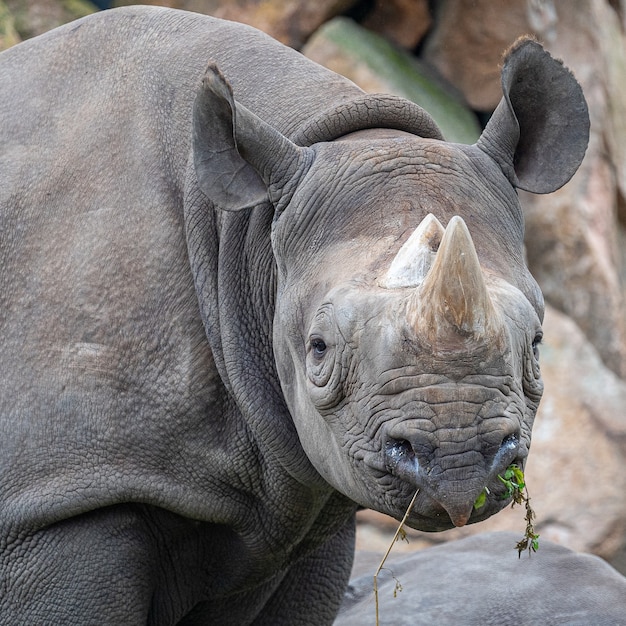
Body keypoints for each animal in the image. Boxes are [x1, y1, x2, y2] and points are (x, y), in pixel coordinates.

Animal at [0, 6, 584, 624]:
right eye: (318, 349)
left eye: (538, 343)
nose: (458, 462)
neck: (251, 238)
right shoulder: (62, 497)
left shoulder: (311, 500)